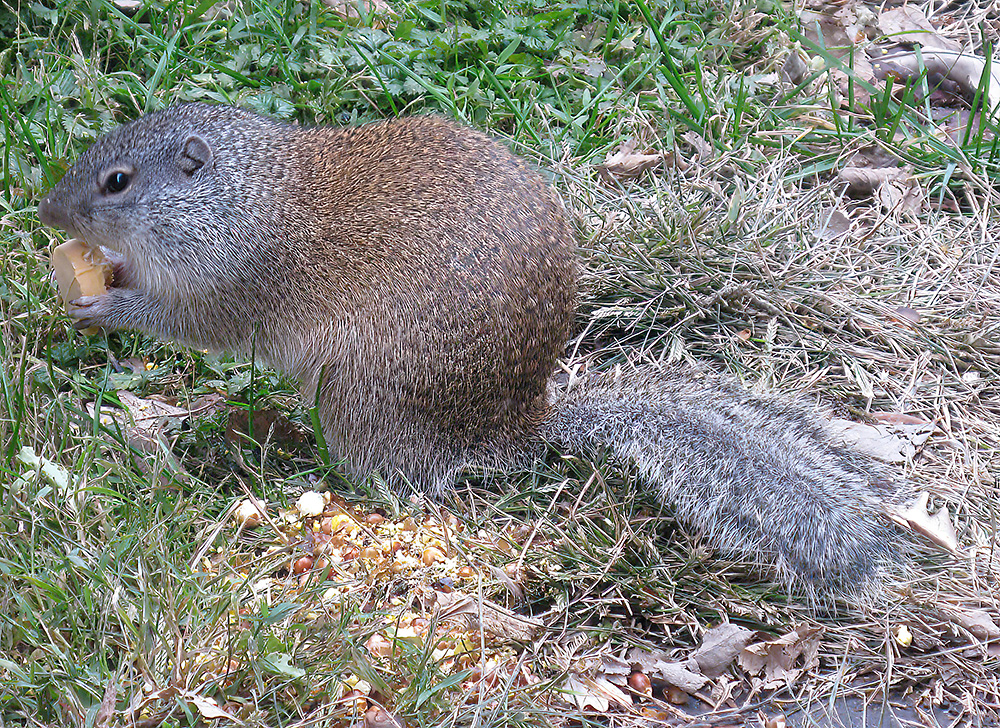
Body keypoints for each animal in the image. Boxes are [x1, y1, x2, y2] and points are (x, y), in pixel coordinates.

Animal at [37, 104, 908, 604]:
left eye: (117, 181)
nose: (45, 211)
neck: (246, 197)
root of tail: (513, 430)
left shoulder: (235, 282)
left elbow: (187, 321)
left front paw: (104, 301)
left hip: (357, 401)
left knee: (404, 482)